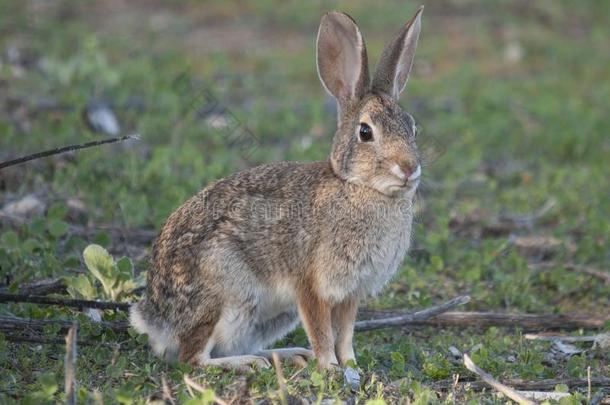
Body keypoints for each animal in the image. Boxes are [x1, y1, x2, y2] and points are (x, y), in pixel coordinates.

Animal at [128, 6, 422, 370]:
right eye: (365, 132)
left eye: (413, 127)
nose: (409, 168)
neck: (359, 187)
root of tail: (155, 318)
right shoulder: (310, 284)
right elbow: (322, 331)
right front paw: (330, 367)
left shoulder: (350, 292)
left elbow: (345, 332)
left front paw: (351, 365)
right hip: (223, 296)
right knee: (193, 357)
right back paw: (247, 363)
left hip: (269, 316)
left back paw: (285, 354)